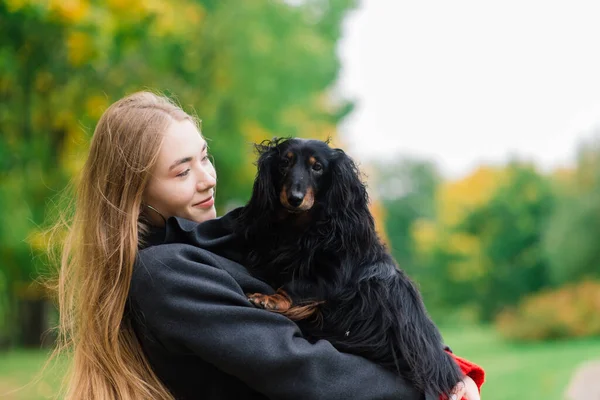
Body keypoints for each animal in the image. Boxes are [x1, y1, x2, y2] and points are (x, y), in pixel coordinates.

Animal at [237, 138, 462, 396]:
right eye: (285, 162)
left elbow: (295, 287)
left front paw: (269, 298)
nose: (294, 198)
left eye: (317, 167)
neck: (301, 230)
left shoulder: (333, 280)